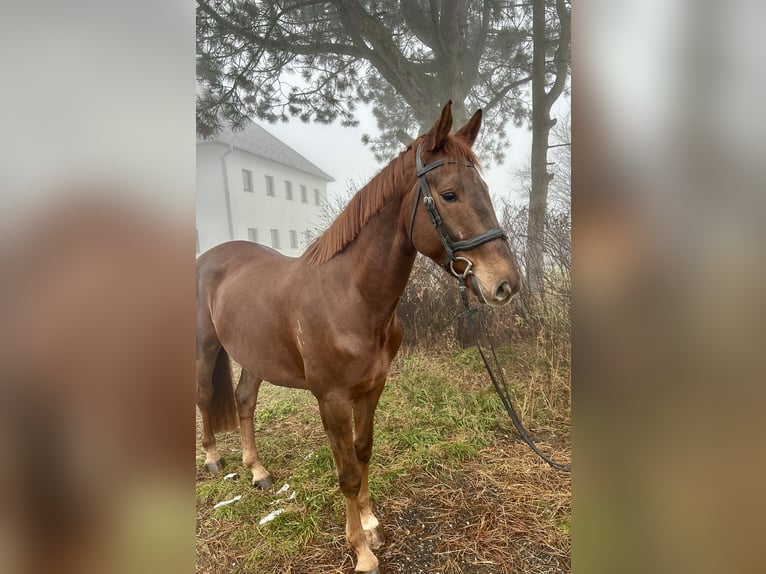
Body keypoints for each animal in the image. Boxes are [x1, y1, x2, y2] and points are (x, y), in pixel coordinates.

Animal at [196, 103, 520, 574]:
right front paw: (362, 552)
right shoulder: (331, 398)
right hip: (206, 346)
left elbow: (363, 450)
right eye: (450, 194)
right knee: (205, 395)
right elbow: (347, 470)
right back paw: (212, 458)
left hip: (255, 356)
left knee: (243, 401)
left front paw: (370, 524)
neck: (350, 297)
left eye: (485, 189)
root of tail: (210, 256)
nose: (506, 284)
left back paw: (257, 471)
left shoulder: (372, 387)